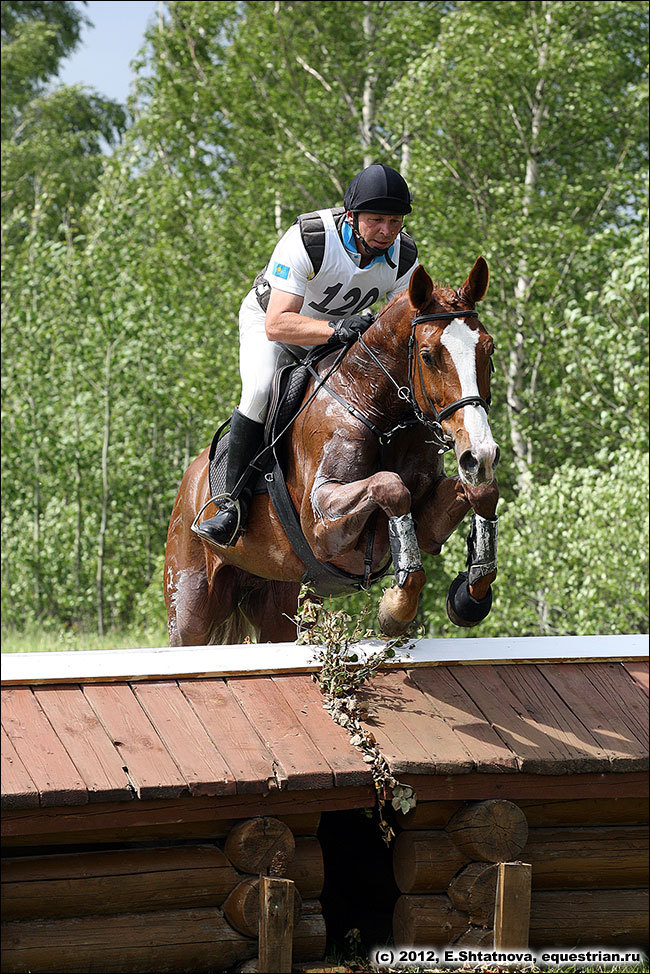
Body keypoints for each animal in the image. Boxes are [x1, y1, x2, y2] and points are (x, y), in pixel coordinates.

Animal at [162, 258, 496, 648]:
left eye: (488, 349)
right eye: (427, 356)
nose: (481, 453)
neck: (374, 409)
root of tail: (191, 480)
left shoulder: (427, 523)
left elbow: (480, 492)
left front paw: (471, 594)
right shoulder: (320, 524)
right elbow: (390, 485)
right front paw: (396, 608)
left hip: (278, 599)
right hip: (190, 605)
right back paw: (223, 518)